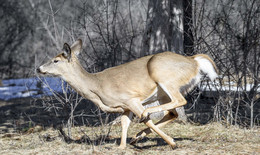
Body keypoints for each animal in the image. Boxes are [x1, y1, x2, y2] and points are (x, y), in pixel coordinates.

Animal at [37, 38, 217, 149]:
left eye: (55, 60)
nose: (39, 68)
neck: (96, 87)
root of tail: (194, 62)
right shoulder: (124, 107)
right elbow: (124, 124)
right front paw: (122, 146)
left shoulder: (131, 99)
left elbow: (147, 121)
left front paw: (172, 143)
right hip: (162, 93)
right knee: (173, 113)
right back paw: (137, 136)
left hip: (165, 78)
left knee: (178, 102)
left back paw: (146, 120)